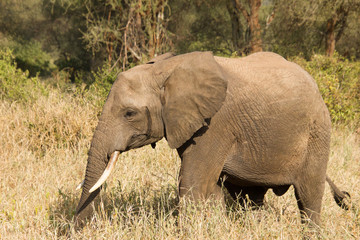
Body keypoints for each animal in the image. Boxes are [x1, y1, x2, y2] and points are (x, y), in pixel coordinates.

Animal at [75, 51, 348, 227]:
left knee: (309, 196)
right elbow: (211, 189)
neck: (167, 68)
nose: (77, 229)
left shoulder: (215, 124)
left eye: (129, 113)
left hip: (318, 132)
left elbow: (193, 184)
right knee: (252, 198)